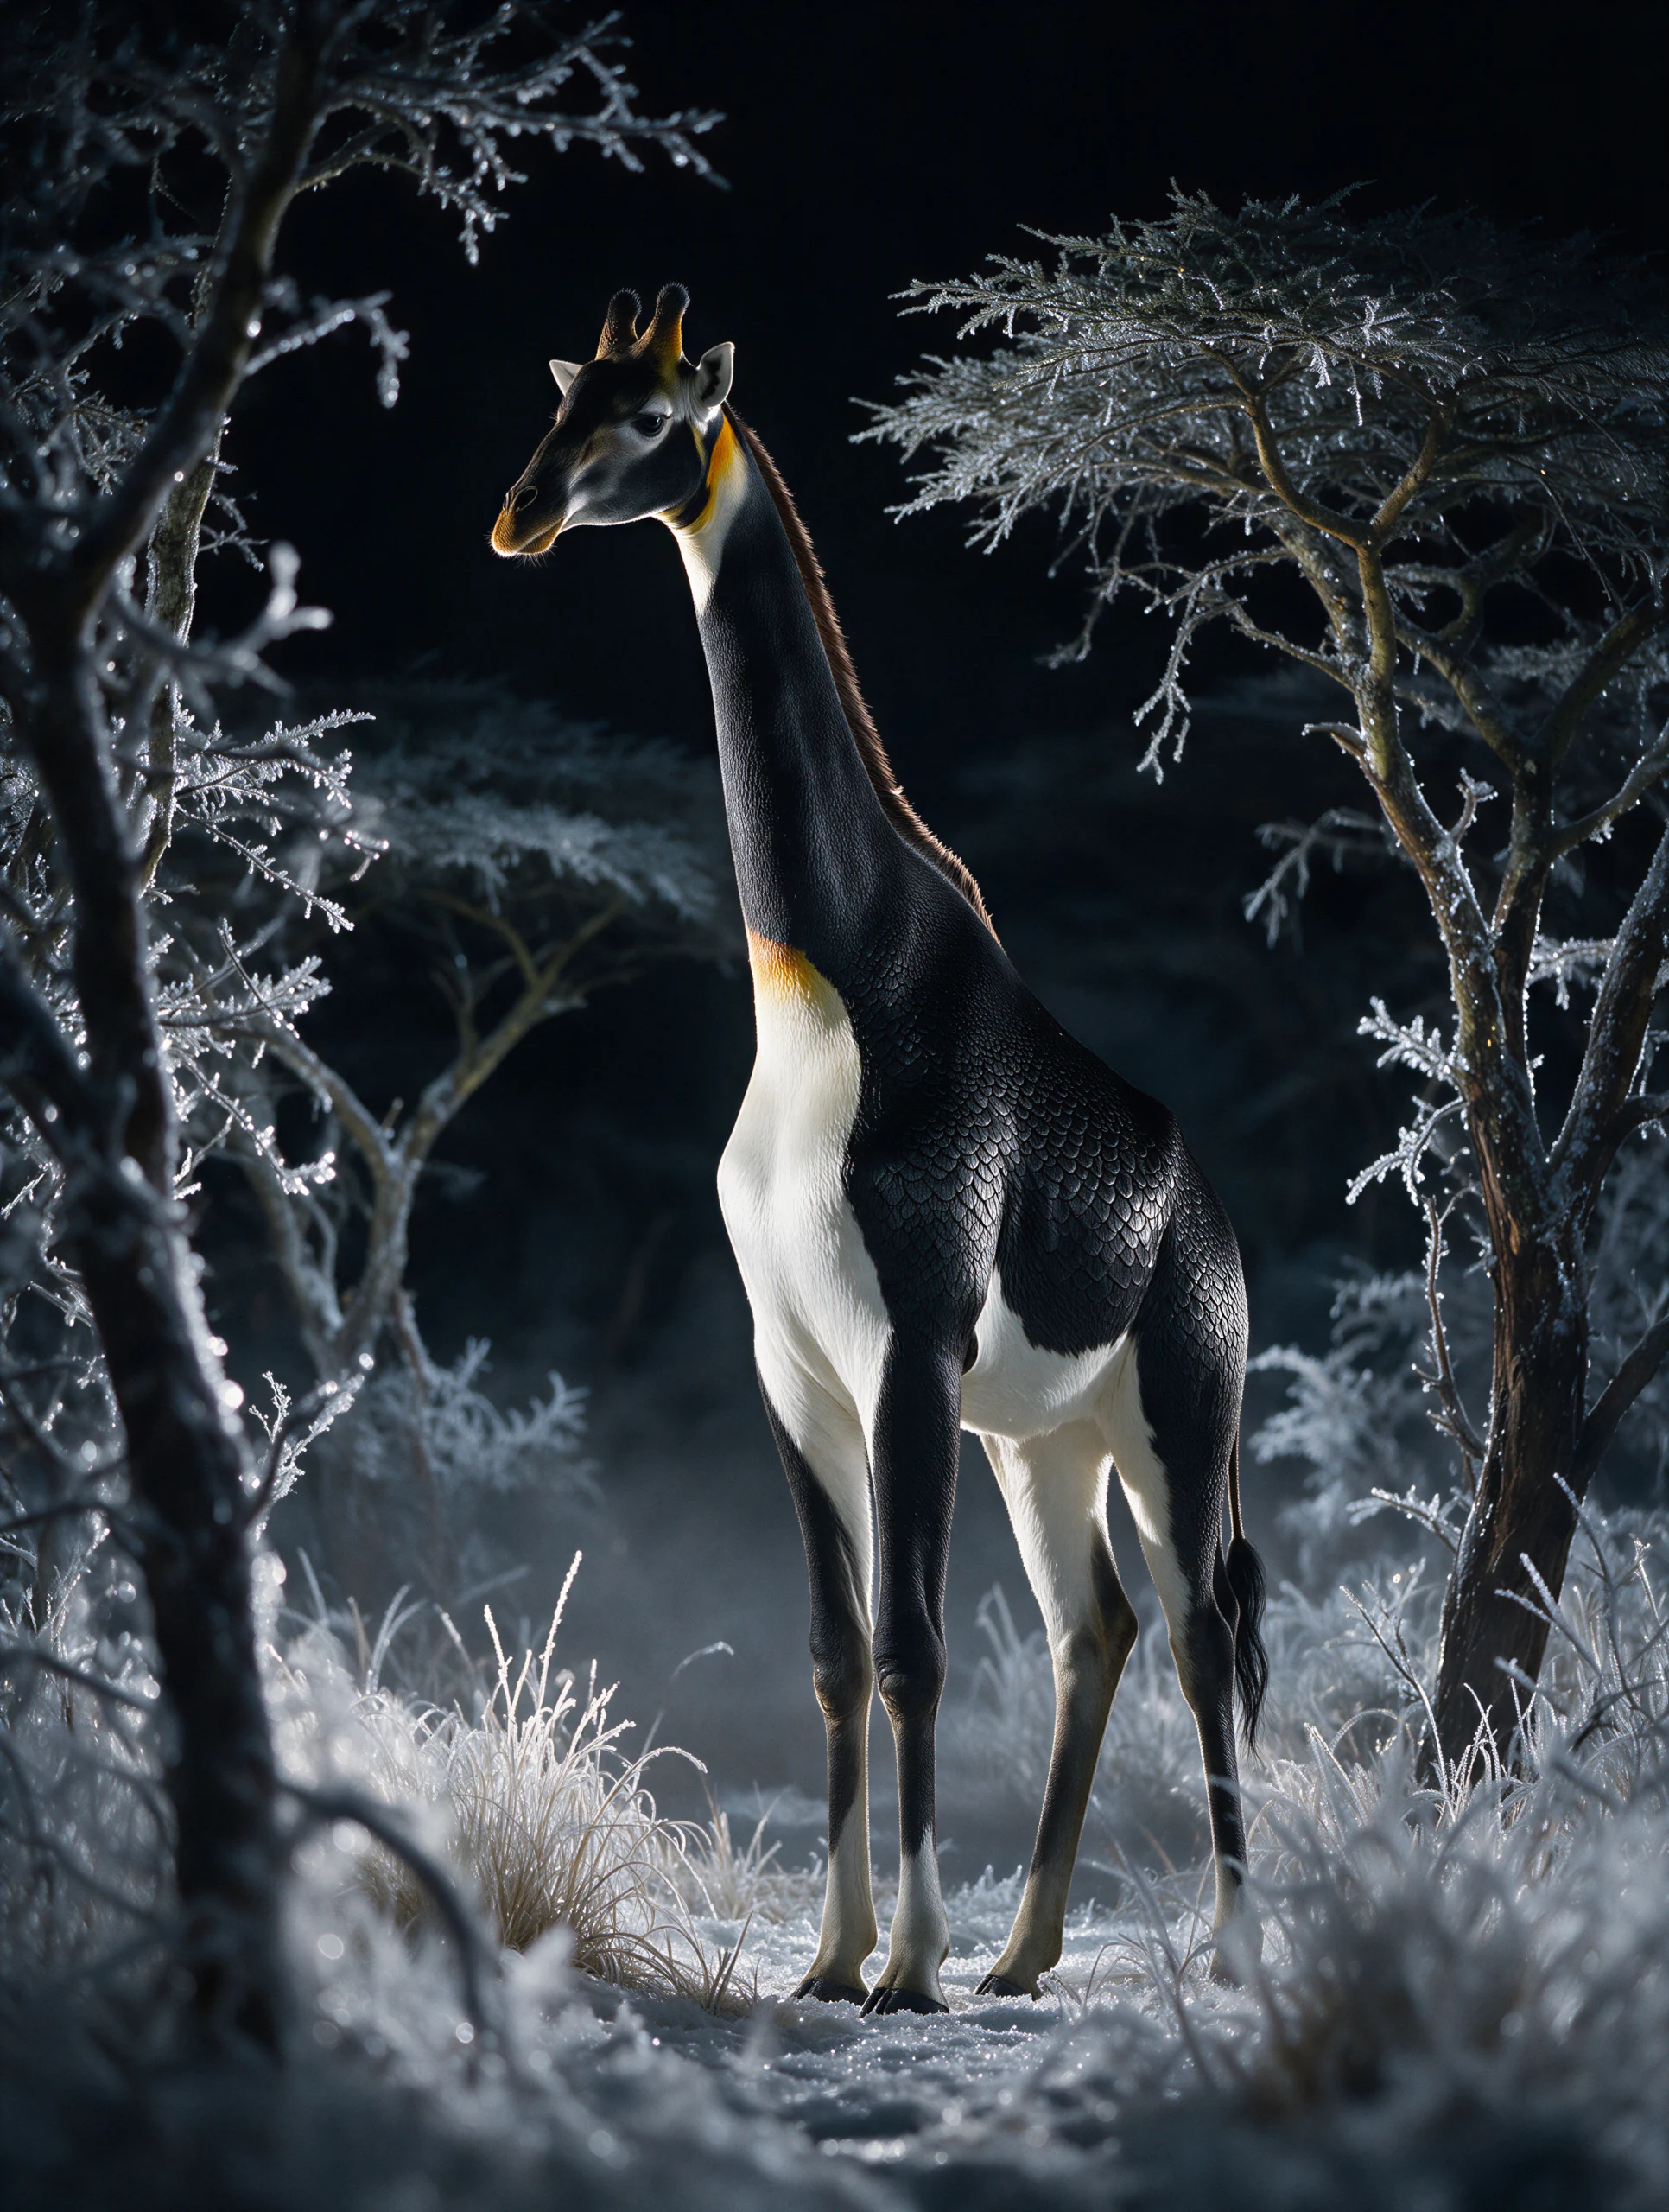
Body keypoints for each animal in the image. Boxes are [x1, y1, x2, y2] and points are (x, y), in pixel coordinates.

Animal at [491, 284, 1267, 2014]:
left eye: (654, 420)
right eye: (563, 400)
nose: (520, 517)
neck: (822, 988)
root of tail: (1215, 1220)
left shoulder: (910, 1344)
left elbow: (912, 1647)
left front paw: (903, 1964)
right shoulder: (792, 1363)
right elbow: (838, 1655)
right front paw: (835, 1958)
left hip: (1180, 1409)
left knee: (1204, 1629)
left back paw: (1232, 1947)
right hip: (1047, 1439)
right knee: (1099, 1631)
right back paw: (1026, 1955)